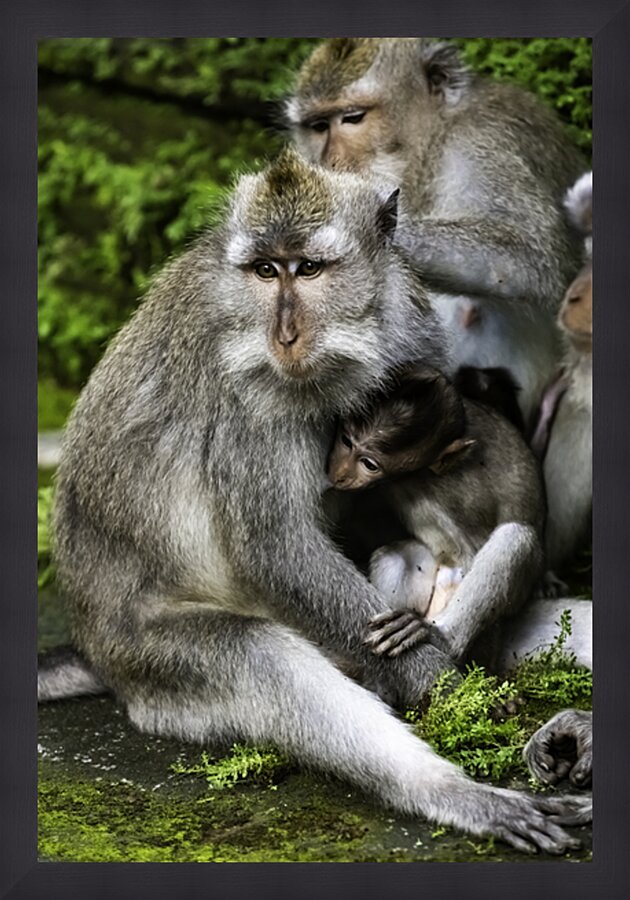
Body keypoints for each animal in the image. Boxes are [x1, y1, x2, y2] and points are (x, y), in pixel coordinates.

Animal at [287, 38, 587, 424]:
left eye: (353, 118)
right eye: (318, 126)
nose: (330, 162)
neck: (433, 145)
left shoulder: (485, 141)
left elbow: (527, 257)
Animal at [326, 362, 546, 662]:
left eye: (369, 464)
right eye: (346, 441)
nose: (338, 473)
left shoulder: (445, 492)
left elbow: (473, 546)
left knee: (515, 537)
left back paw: (442, 636)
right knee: (396, 555)